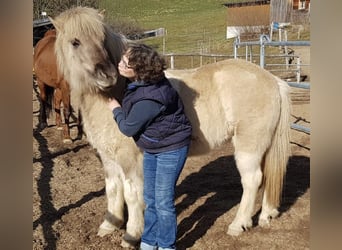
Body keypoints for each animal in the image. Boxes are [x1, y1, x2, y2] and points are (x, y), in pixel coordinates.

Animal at [50, 6, 292, 248]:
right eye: (75, 42)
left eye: (102, 38)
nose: (107, 75)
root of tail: (272, 80)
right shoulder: (108, 158)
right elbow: (112, 189)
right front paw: (110, 225)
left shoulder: (130, 160)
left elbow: (132, 194)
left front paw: (131, 235)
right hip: (264, 146)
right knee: (267, 177)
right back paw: (266, 215)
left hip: (248, 147)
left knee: (252, 180)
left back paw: (238, 225)